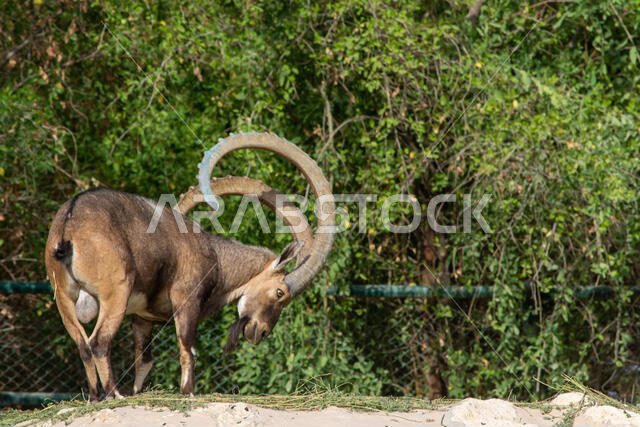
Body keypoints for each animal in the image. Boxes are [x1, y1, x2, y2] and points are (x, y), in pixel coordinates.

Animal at [44, 133, 335, 400]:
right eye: (280, 293)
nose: (259, 333)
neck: (216, 256)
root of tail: (69, 223)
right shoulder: (187, 299)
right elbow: (188, 349)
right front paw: (188, 392)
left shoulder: (142, 318)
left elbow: (144, 361)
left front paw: (140, 391)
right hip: (116, 292)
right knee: (99, 342)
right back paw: (114, 394)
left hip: (63, 298)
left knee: (82, 345)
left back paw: (96, 396)